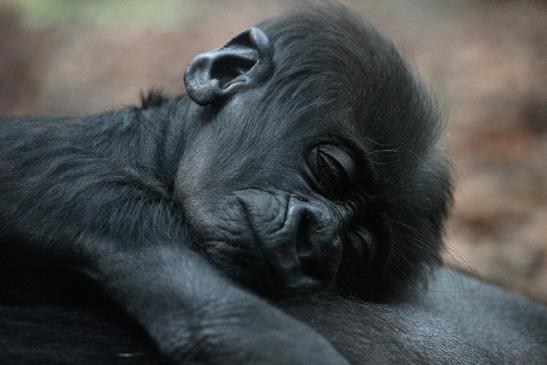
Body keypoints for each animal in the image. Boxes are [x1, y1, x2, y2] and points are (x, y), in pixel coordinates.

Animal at [1, 2, 547, 364]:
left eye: (355, 247)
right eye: (329, 169)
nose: (316, 240)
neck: (143, 147)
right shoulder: (82, 184)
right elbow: (226, 323)